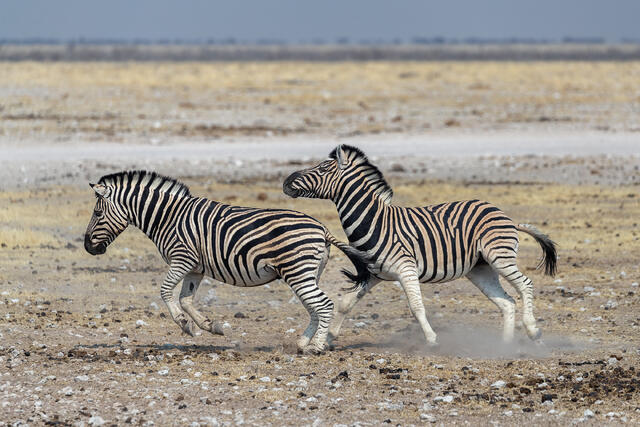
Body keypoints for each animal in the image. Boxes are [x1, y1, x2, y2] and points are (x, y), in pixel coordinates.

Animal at [83, 170, 369, 353]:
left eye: (97, 213)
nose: (87, 247)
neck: (168, 217)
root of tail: (322, 228)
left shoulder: (182, 257)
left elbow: (166, 292)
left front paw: (183, 324)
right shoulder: (195, 268)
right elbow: (186, 299)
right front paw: (209, 327)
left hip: (298, 272)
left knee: (324, 304)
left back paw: (317, 346)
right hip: (306, 273)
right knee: (314, 307)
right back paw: (302, 343)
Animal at [283, 145, 557, 346]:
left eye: (322, 168)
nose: (286, 182)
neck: (376, 221)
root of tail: (501, 212)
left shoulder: (406, 269)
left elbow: (416, 306)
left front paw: (432, 339)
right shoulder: (374, 274)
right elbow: (345, 303)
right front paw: (328, 338)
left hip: (499, 257)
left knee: (525, 285)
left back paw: (533, 330)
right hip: (480, 269)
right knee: (507, 302)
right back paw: (504, 345)